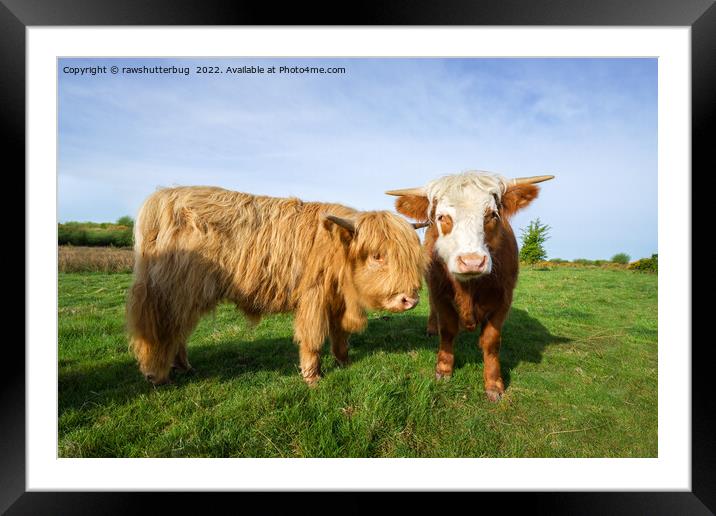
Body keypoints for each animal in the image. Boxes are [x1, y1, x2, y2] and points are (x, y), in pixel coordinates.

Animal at [126, 187, 428, 384]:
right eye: (377, 255)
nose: (410, 299)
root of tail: (162, 198)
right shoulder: (314, 296)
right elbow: (312, 337)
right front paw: (312, 377)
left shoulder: (336, 299)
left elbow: (340, 334)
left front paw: (344, 361)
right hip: (171, 292)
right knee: (163, 329)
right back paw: (157, 374)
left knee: (178, 331)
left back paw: (183, 366)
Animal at [388, 171, 556, 402]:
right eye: (442, 217)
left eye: (492, 215)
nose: (472, 262)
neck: (468, 288)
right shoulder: (440, 293)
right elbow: (447, 330)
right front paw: (444, 369)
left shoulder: (504, 299)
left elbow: (491, 341)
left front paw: (494, 384)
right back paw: (431, 327)